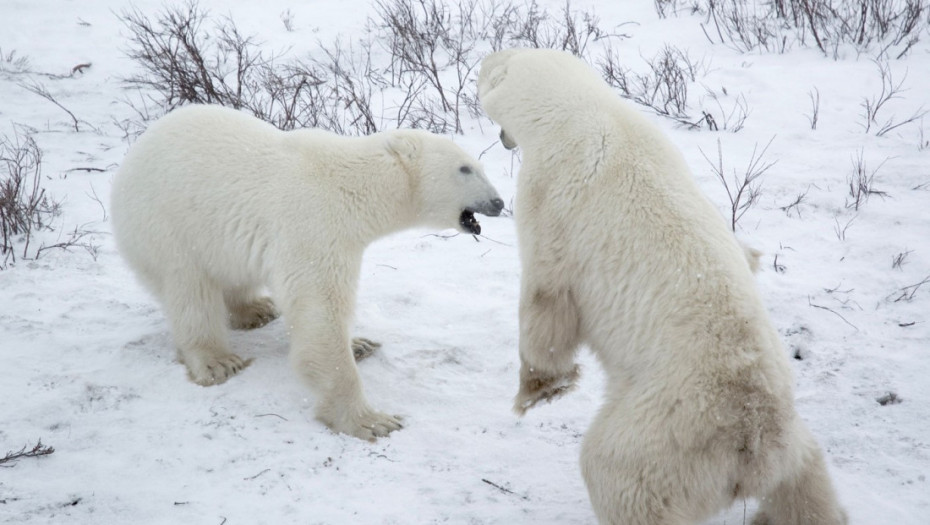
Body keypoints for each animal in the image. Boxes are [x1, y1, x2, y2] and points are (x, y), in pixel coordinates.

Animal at [111, 104, 504, 440]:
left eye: (480, 166)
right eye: (465, 168)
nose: (498, 202)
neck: (355, 185)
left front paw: (358, 343)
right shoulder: (313, 225)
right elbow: (320, 309)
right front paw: (370, 420)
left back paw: (257, 309)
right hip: (168, 225)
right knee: (190, 290)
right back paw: (218, 361)